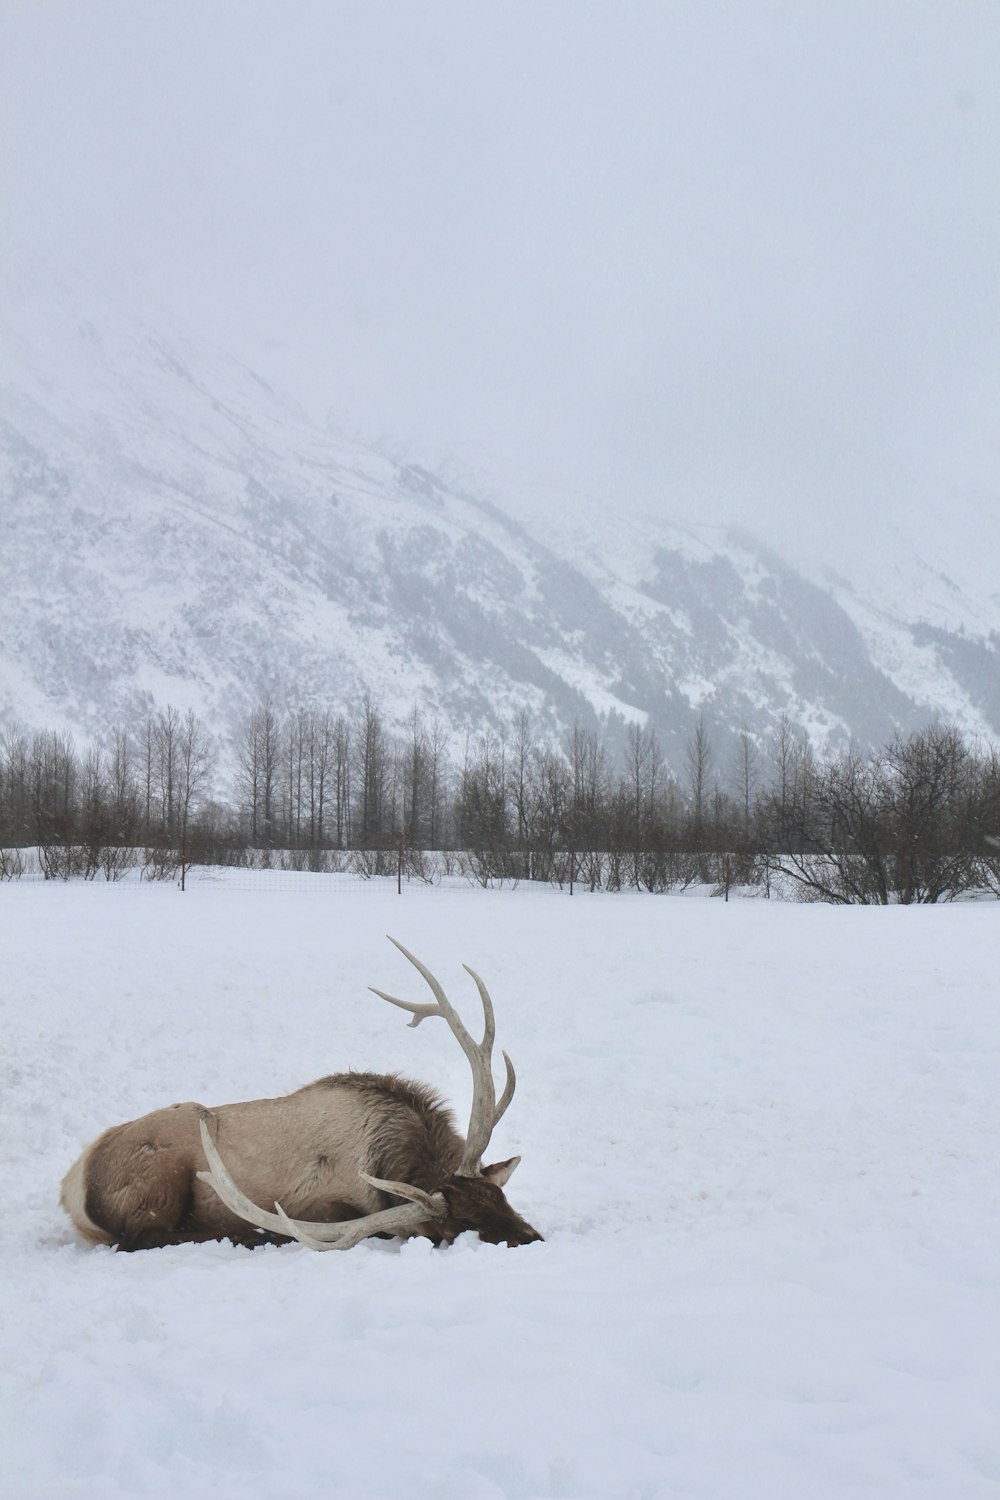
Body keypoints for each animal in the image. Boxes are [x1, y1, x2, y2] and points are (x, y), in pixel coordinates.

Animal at [60, 936, 548, 1254]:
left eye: (499, 1198)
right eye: (461, 1223)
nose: (532, 1239)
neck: (394, 1151)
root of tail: (72, 1185)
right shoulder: (322, 1206)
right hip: (160, 1178)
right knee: (143, 1238)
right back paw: (250, 1235)